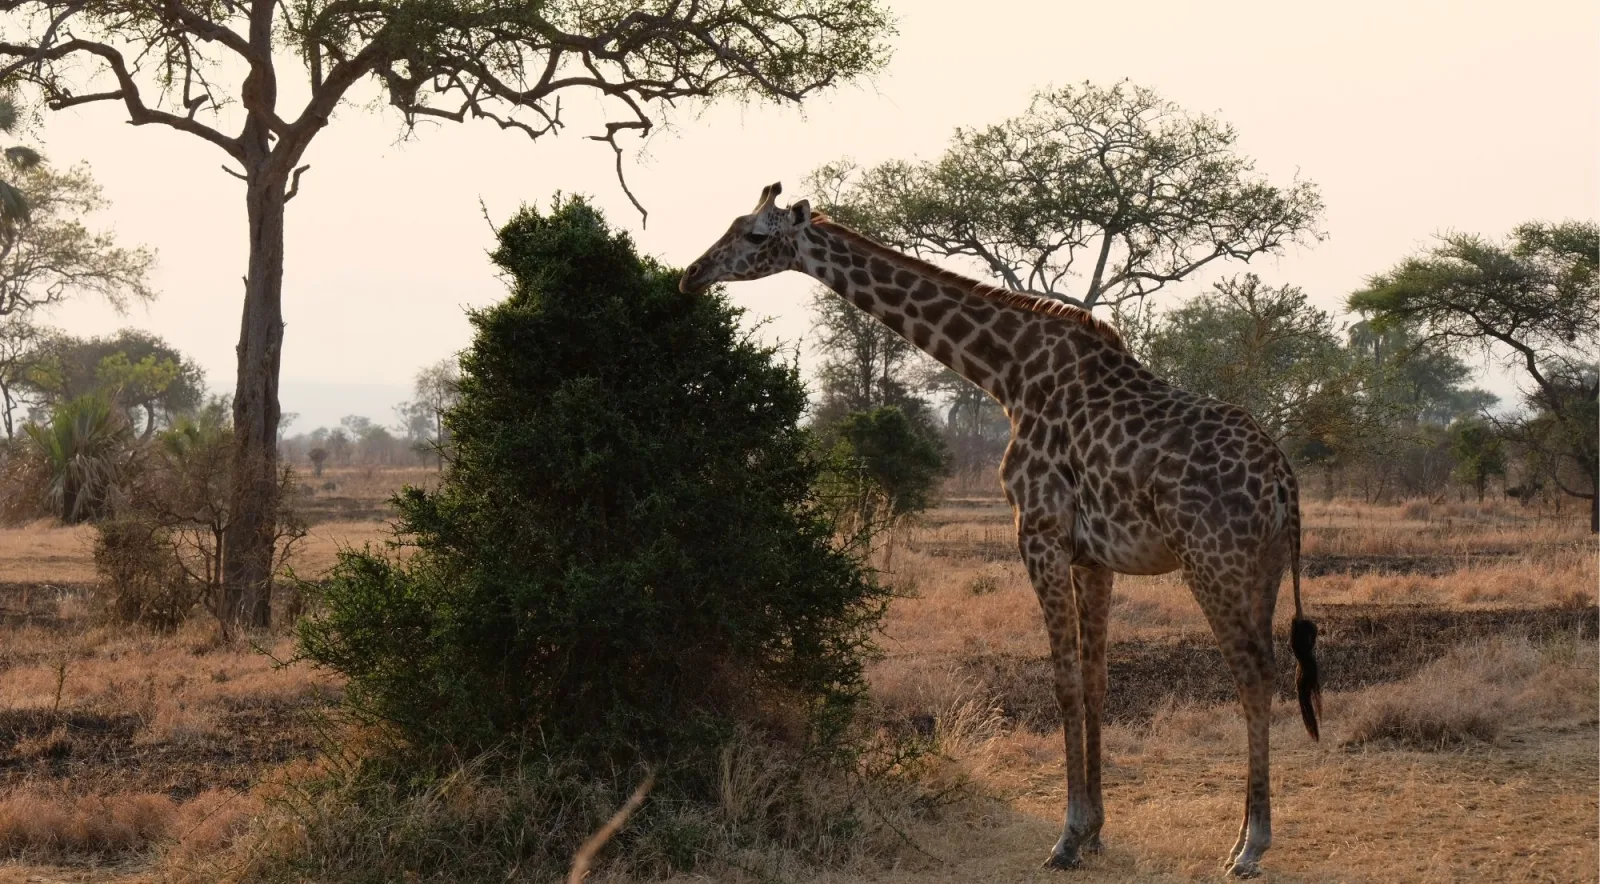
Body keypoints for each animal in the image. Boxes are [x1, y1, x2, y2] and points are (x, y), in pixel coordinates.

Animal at [680, 182, 1324, 878]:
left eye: (753, 235)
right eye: (732, 224)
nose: (691, 274)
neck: (1007, 375)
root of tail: (1285, 481)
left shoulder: (1037, 530)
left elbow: (1063, 682)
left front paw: (1068, 837)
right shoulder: (1091, 555)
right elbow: (1095, 680)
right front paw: (1096, 831)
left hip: (1212, 561)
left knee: (1251, 671)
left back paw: (1252, 847)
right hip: (1260, 569)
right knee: (1266, 669)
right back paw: (1240, 838)